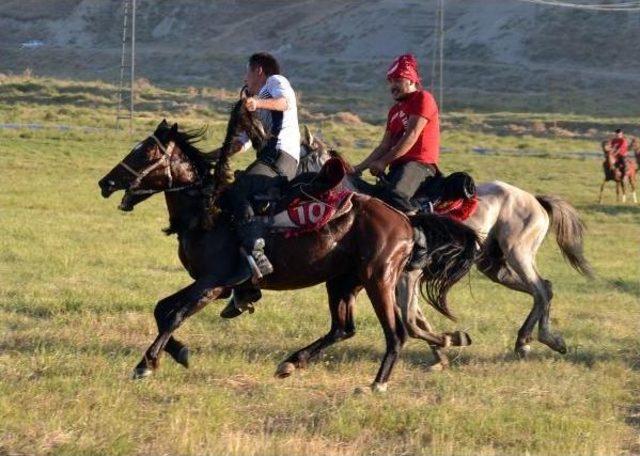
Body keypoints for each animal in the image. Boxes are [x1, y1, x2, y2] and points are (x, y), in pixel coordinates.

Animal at [95, 111, 476, 392]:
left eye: (147, 152)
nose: (105, 183)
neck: (210, 210)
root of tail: (405, 219)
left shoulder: (214, 283)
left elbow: (173, 315)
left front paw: (146, 364)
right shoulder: (211, 284)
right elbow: (161, 309)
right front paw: (178, 353)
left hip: (378, 279)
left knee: (395, 332)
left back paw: (376, 384)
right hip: (342, 281)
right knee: (343, 329)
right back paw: (291, 363)